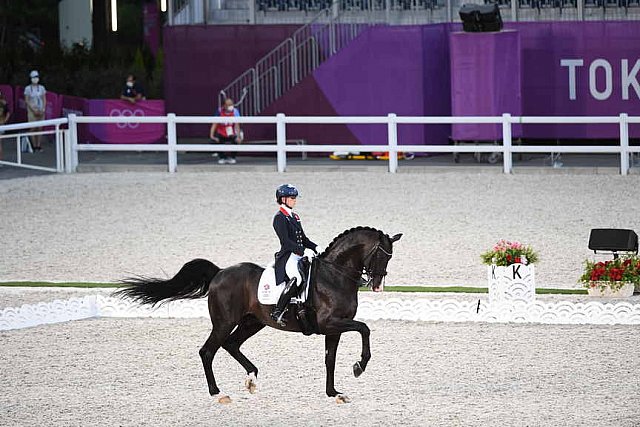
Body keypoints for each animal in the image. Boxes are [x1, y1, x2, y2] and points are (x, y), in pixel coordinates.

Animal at [114, 227, 400, 404]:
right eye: (380, 255)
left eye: (390, 257)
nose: (377, 285)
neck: (335, 275)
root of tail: (219, 273)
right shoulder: (330, 323)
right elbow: (364, 328)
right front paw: (360, 366)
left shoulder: (334, 329)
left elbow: (330, 359)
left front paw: (333, 392)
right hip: (224, 322)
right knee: (208, 350)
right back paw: (216, 392)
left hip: (253, 322)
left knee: (231, 344)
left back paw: (251, 377)